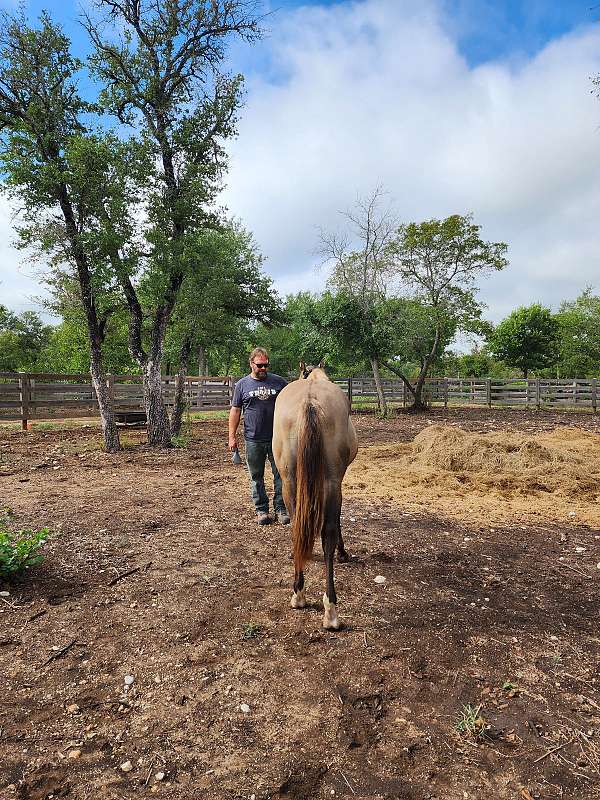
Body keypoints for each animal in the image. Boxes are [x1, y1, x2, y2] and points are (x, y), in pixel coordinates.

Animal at [274, 362, 358, 632]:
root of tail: (310, 401)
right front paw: (343, 552)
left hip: (290, 481)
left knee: (296, 527)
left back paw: (299, 593)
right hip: (331, 481)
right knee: (328, 532)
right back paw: (330, 609)